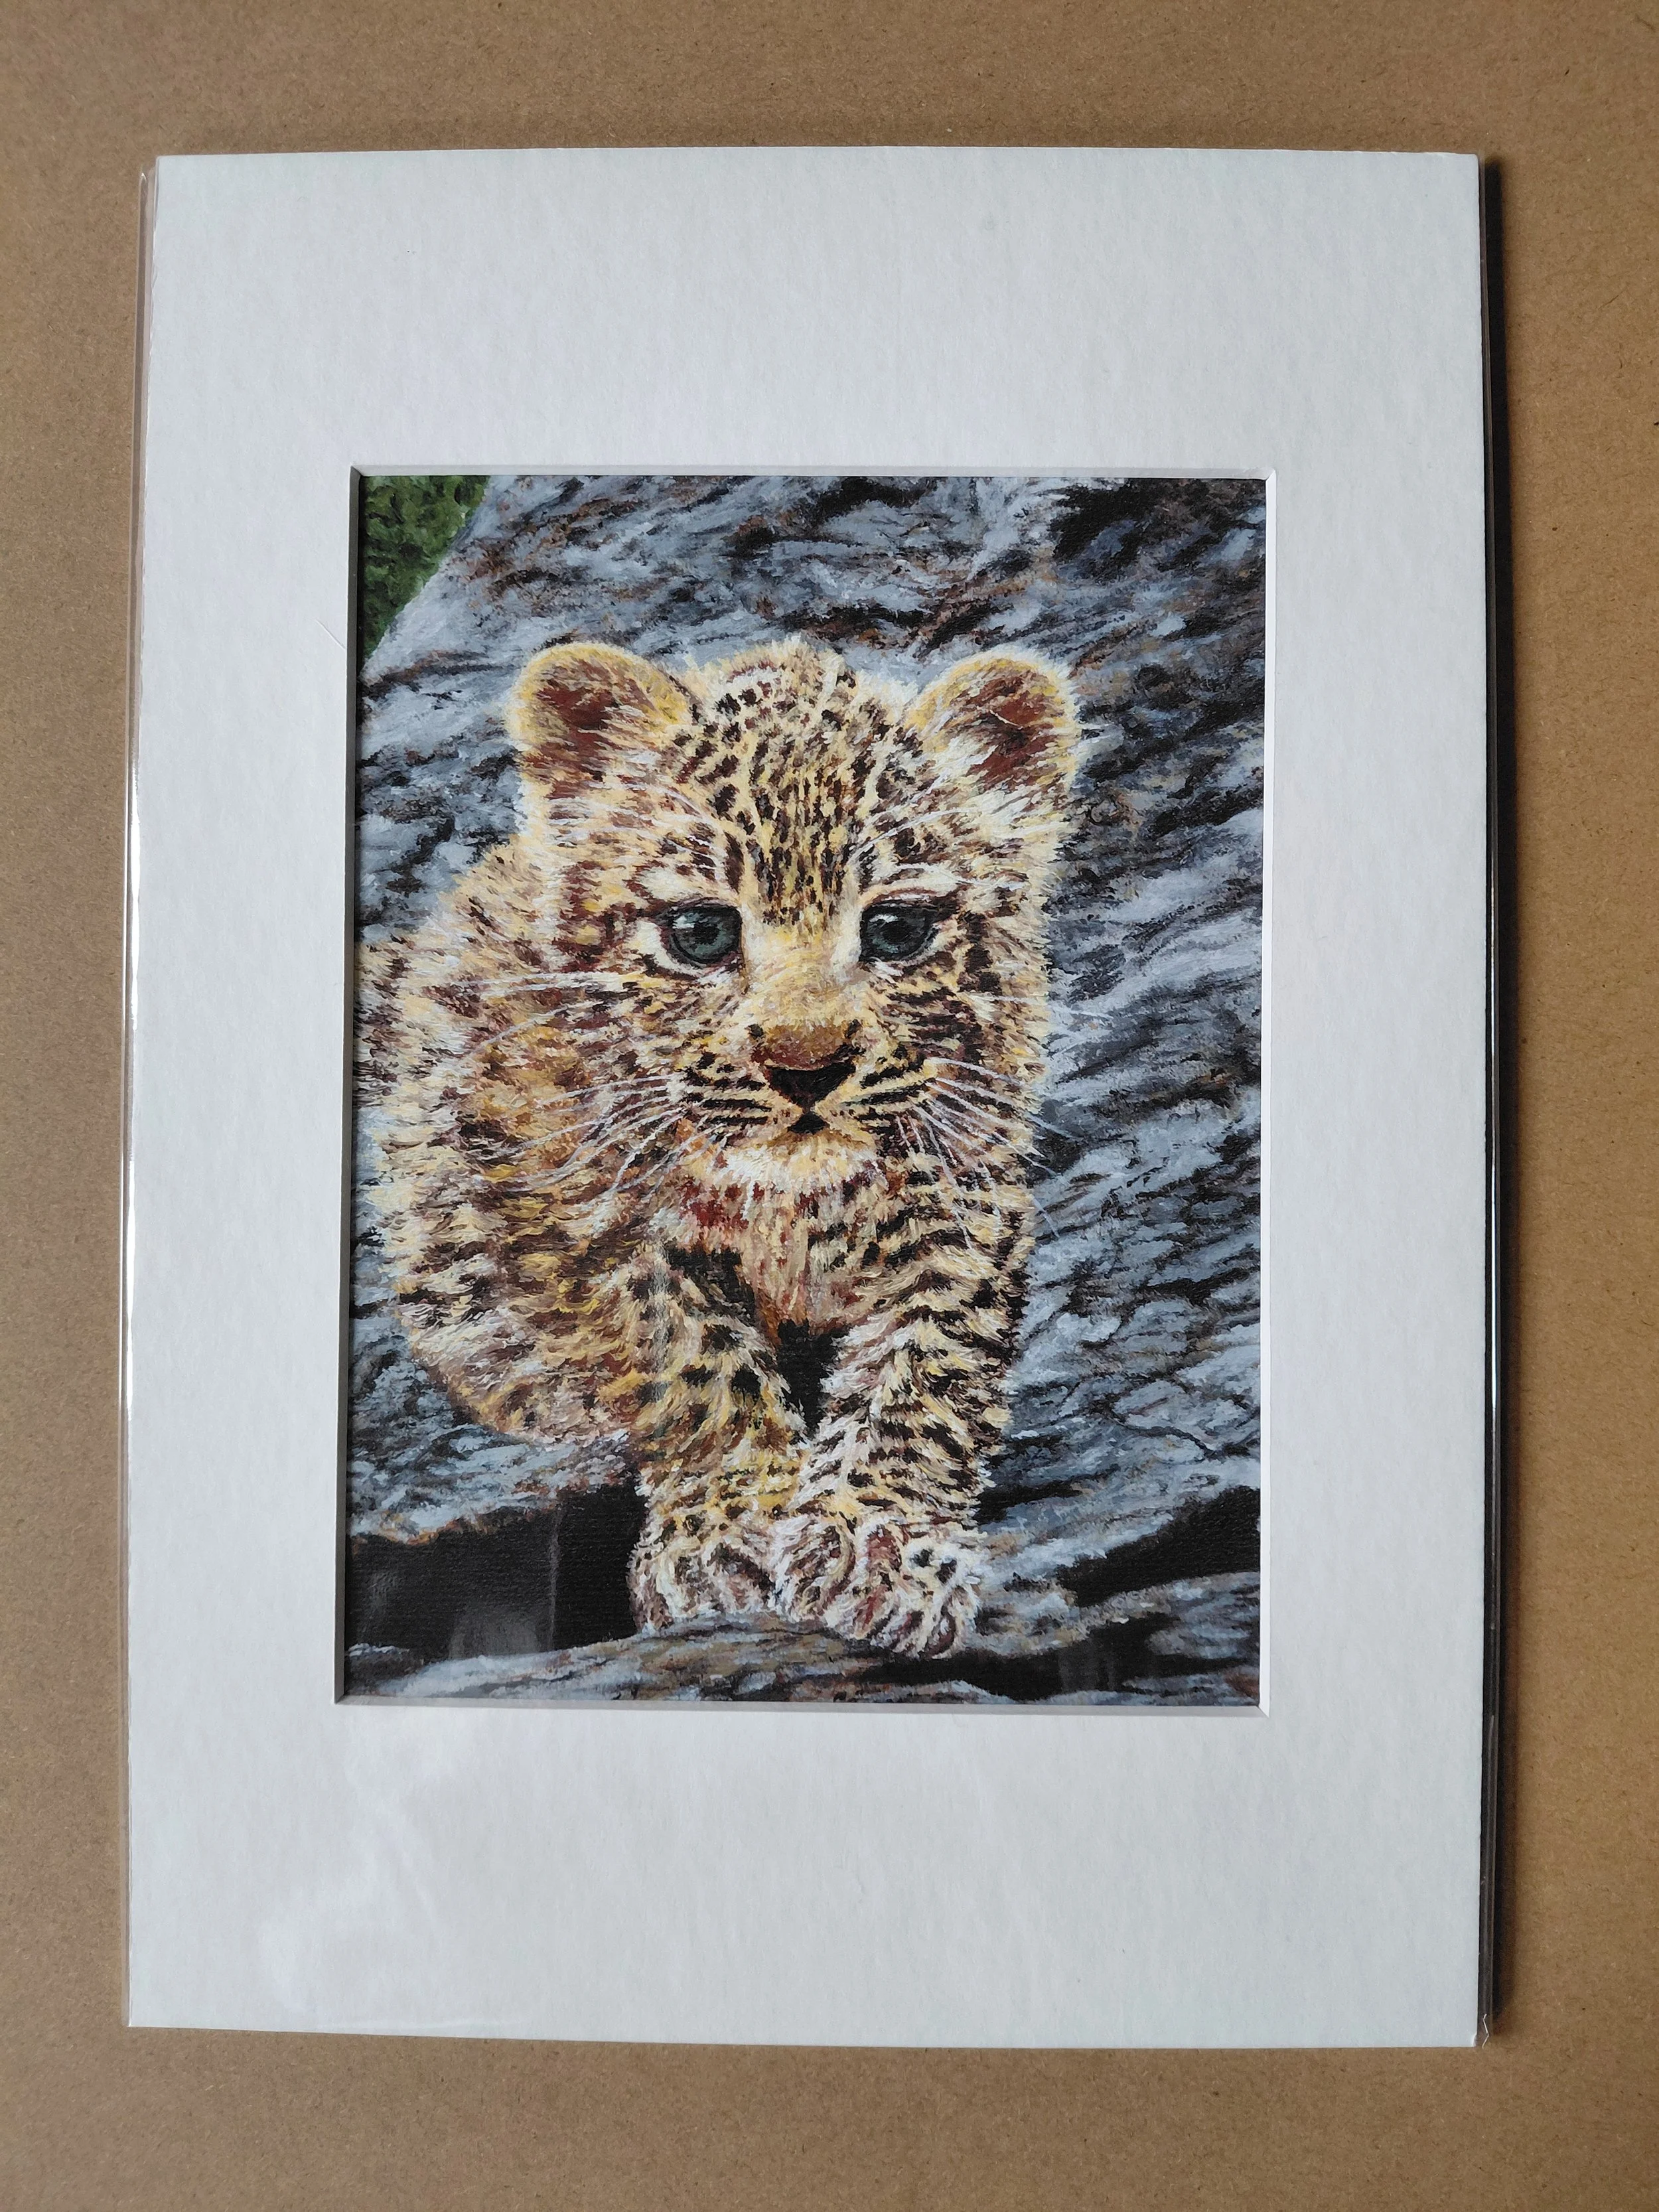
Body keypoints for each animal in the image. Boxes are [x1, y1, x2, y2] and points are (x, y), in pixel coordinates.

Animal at [359, 635, 1080, 1658]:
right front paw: (728, 1537)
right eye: (700, 932)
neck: (792, 1205)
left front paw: (879, 1547)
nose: (806, 1064)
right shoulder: (594, 1221)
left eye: (896, 928)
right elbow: (693, 1364)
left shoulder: (962, 1193)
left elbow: (922, 1370)